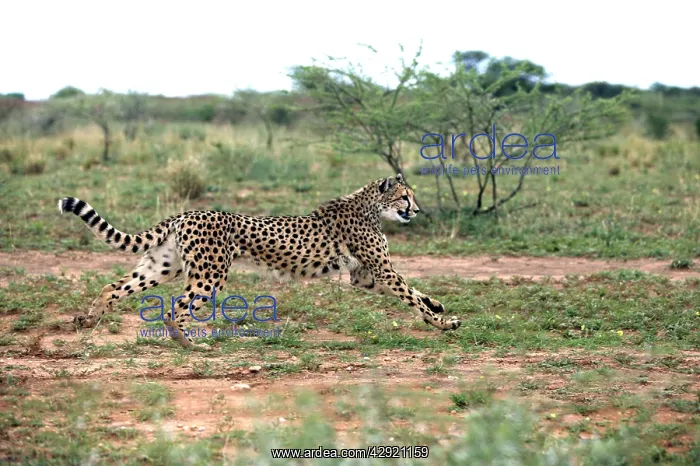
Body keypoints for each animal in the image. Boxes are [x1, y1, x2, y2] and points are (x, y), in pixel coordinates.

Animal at [58, 173, 461, 349]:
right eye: (405, 196)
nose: (416, 210)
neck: (371, 207)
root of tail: (185, 213)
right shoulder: (380, 270)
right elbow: (408, 293)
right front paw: (442, 323)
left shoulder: (365, 275)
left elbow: (414, 290)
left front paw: (439, 307)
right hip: (209, 274)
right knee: (177, 307)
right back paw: (189, 344)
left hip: (164, 266)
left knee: (114, 286)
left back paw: (87, 319)